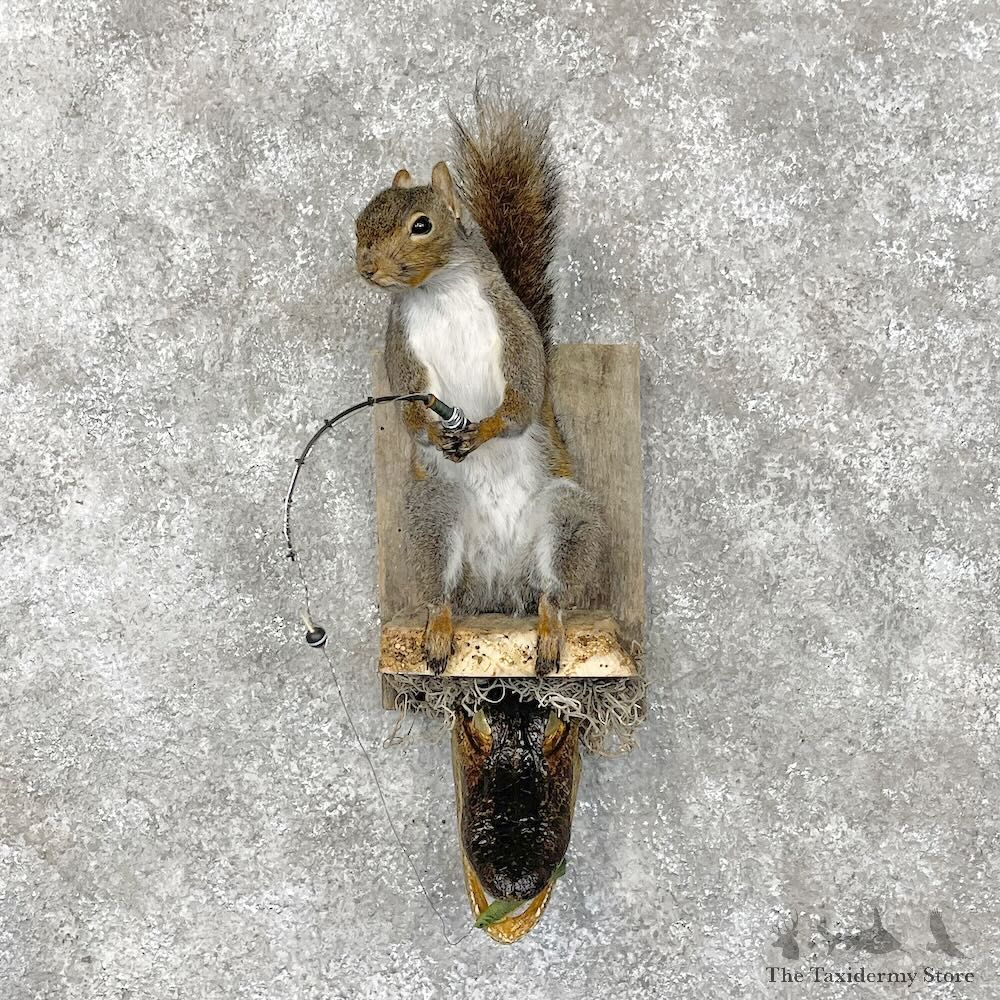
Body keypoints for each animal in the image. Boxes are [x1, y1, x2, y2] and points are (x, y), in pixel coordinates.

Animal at [354, 90, 605, 676]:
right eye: (359, 222)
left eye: (422, 225)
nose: (366, 267)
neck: (439, 292)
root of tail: (499, 581)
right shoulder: (399, 348)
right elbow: (409, 415)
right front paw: (433, 430)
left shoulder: (514, 329)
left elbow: (523, 400)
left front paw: (485, 429)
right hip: (434, 516)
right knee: (443, 592)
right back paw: (440, 628)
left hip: (567, 519)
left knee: (552, 592)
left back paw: (549, 628)